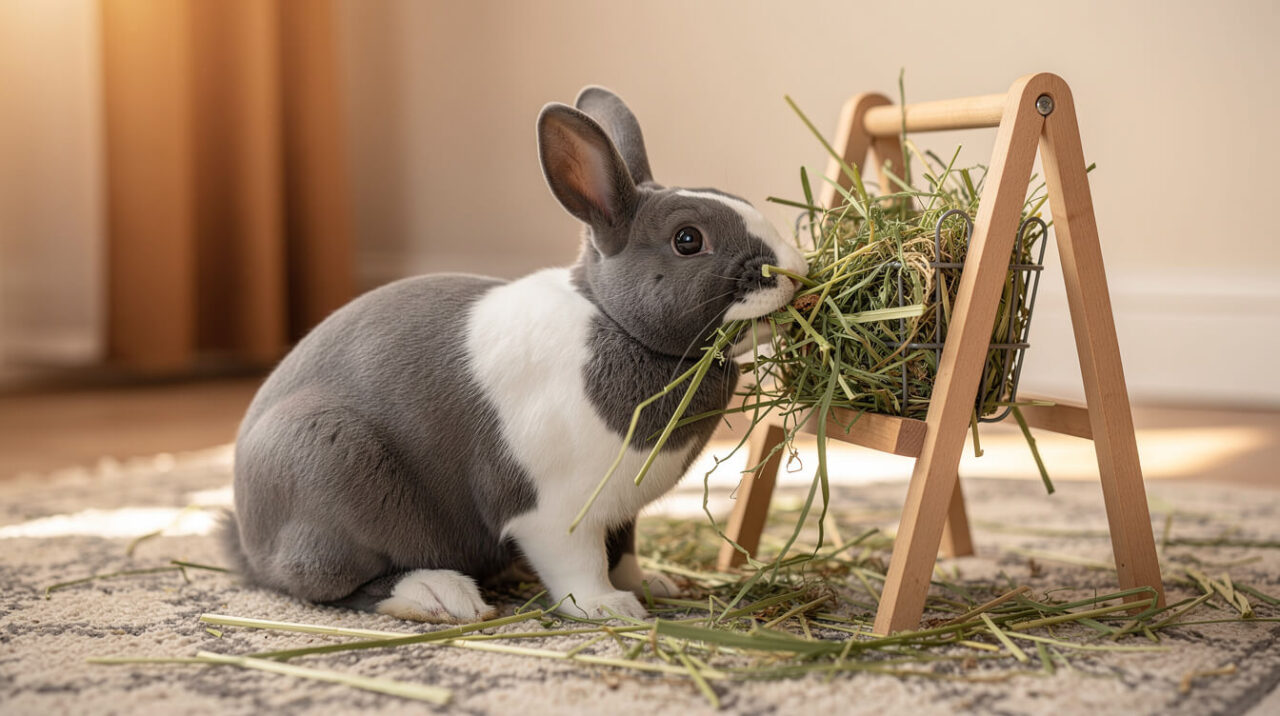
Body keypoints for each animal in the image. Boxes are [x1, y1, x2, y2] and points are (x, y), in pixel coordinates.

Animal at [221, 86, 808, 623]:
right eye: (688, 239)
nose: (795, 272)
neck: (615, 324)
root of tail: (249, 537)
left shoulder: (621, 513)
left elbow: (623, 554)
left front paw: (653, 585)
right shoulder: (555, 513)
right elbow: (581, 566)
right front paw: (610, 609)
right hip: (327, 465)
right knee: (328, 584)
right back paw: (440, 597)